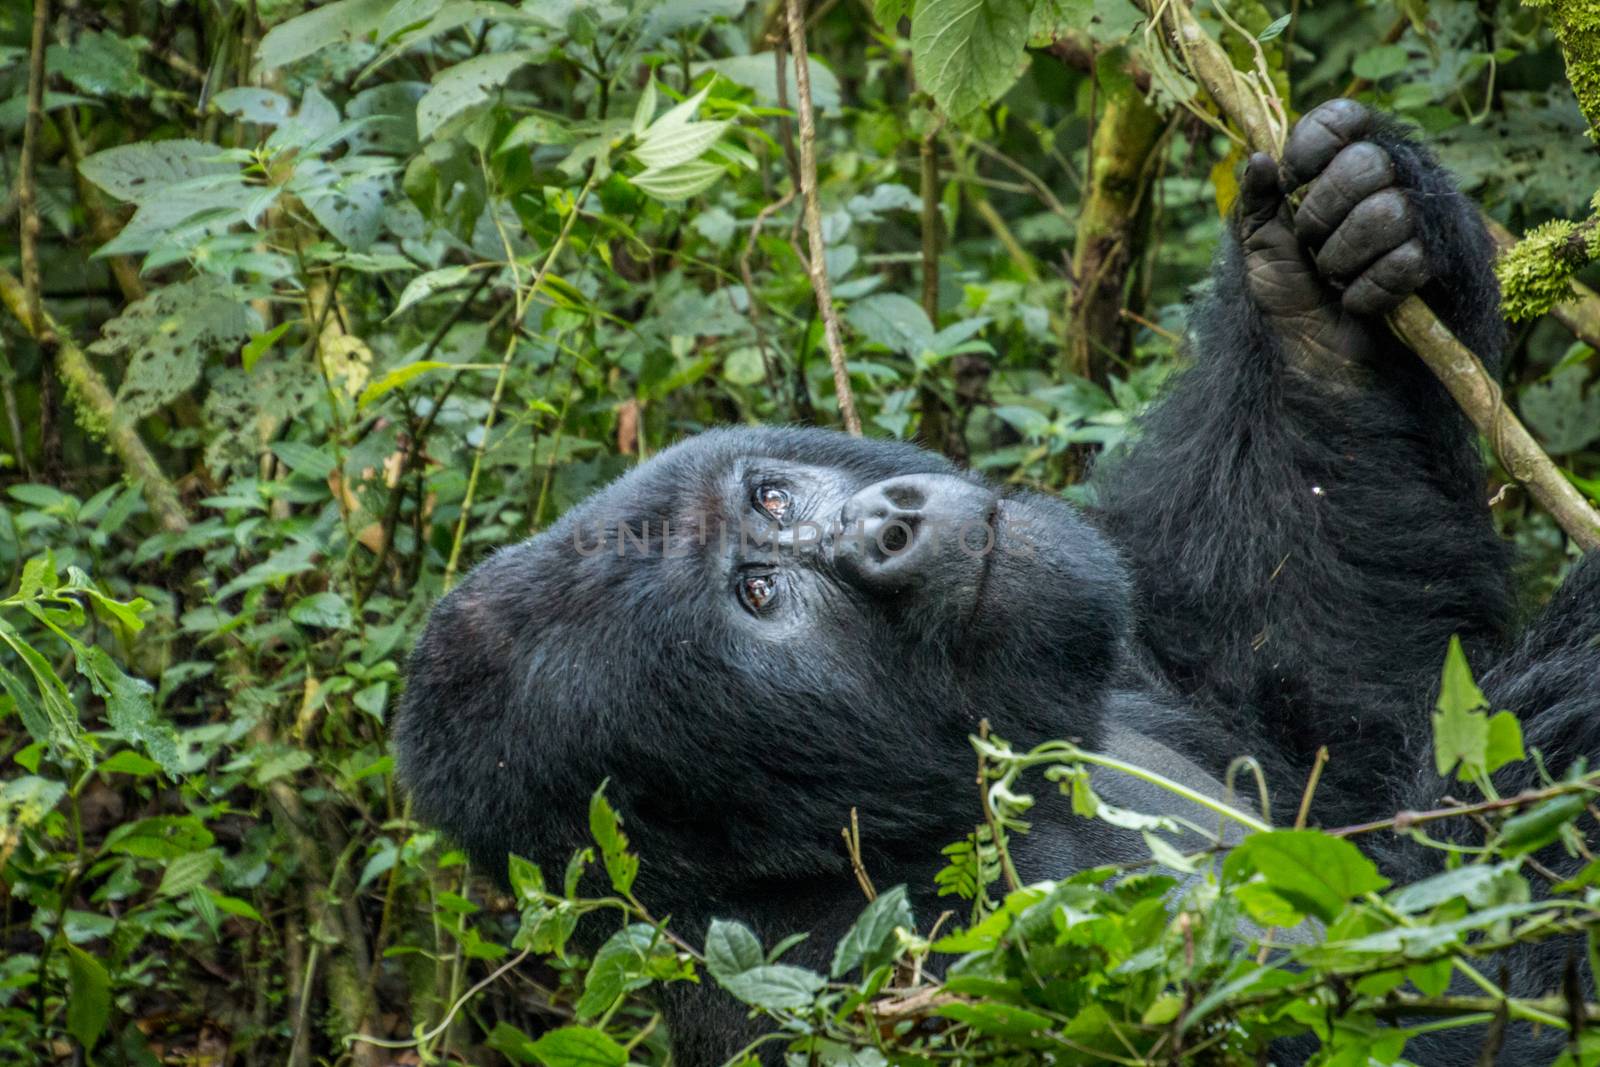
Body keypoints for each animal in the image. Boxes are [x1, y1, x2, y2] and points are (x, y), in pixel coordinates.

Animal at [390, 97, 1600, 1062]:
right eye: (761, 599)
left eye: (768, 499)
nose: (884, 522)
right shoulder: (972, 959)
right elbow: (1460, 989)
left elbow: (1323, 704)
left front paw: (1323, 284)